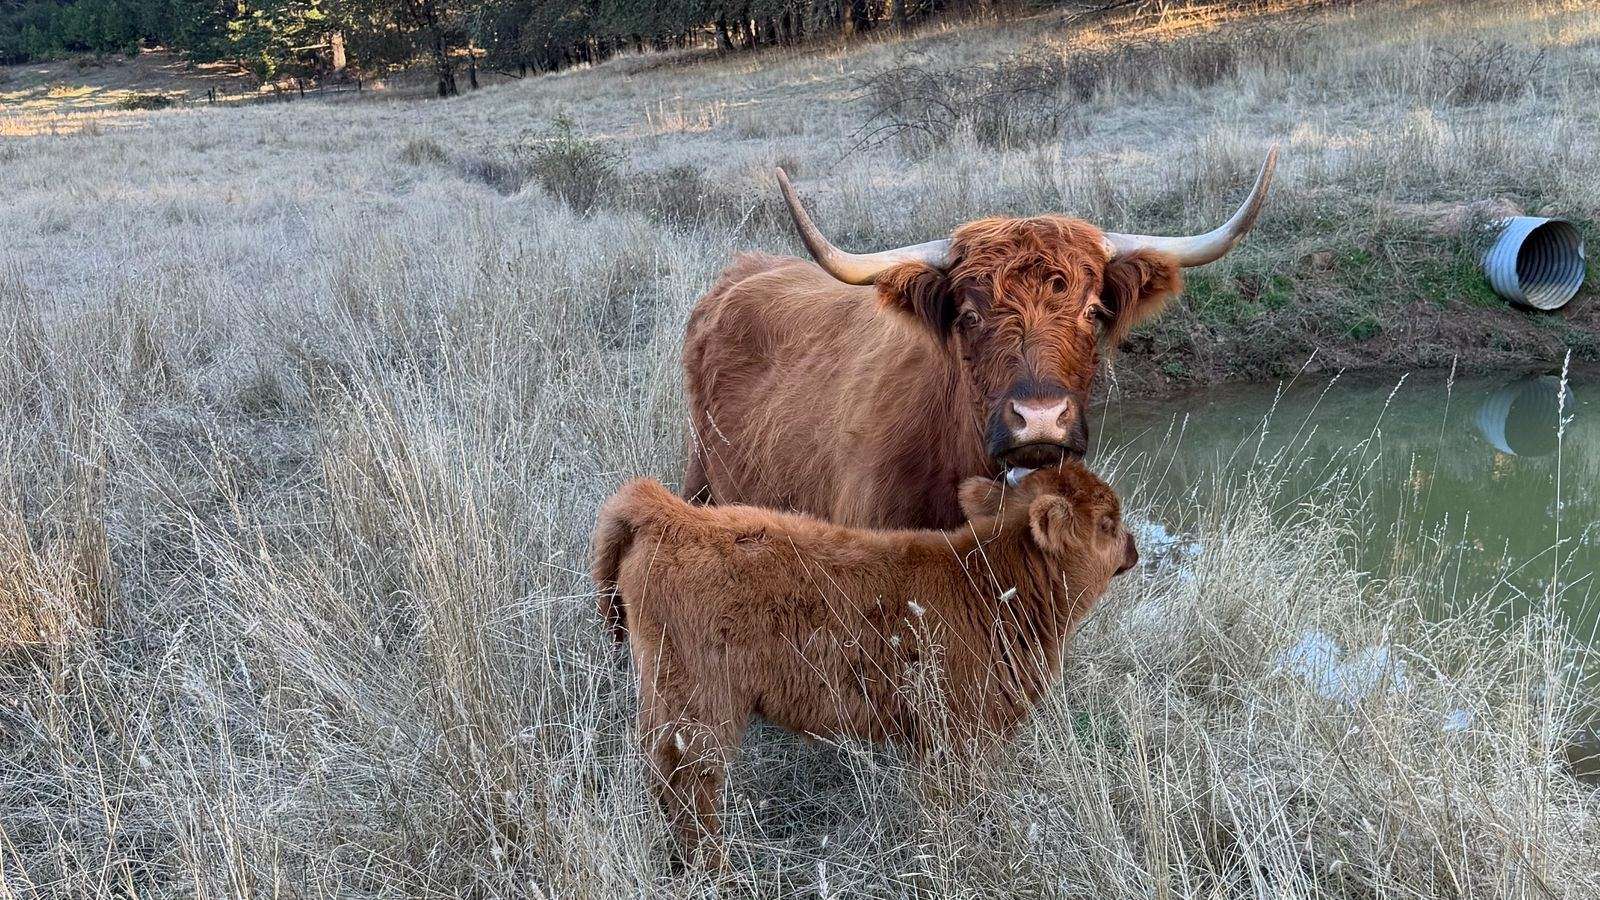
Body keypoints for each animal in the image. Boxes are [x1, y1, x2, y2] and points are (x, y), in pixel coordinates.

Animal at [591, 463, 1138, 867]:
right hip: (701, 705)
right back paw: (714, 868)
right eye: (1107, 523)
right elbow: (953, 800)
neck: (988, 585)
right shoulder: (958, 731)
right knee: (690, 785)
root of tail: (672, 514)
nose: (1134, 549)